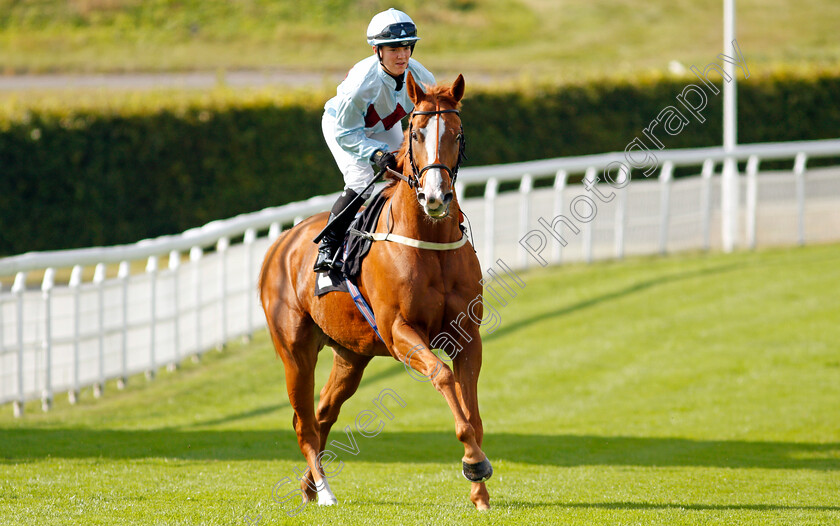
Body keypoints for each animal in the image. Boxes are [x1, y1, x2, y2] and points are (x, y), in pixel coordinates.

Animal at [260, 73, 488, 512]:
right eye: (415, 133)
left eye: (457, 134)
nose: (436, 197)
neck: (428, 241)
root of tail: (280, 245)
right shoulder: (400, 332)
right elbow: (443, 377)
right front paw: (473, 463)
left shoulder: (468, 335)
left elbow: (472, 408)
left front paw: (480, 487)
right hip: (295, 351)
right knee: (303, 422)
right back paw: (324, 490)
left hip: (350, 355)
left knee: (323, 413)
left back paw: (309, 486)